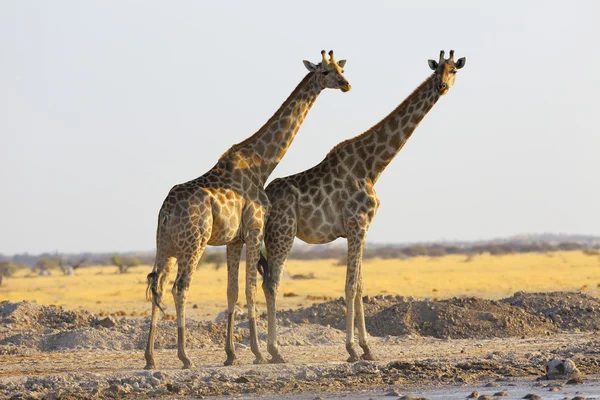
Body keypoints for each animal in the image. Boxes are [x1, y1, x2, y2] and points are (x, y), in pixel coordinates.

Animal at [145, 51, 352, 370]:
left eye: (341, 68)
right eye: (326, 72)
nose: (346, 84)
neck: (262, 165)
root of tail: (165, 213)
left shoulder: (234, 239)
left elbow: (232, 291)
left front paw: (231, 355)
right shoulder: (255, 229)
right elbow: (251, 288)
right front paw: (259, 353)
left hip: (164, 244)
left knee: (156, 283)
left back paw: (150, 358)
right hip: (193, 243)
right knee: (180, 287)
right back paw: (184, 357)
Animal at [260, 49, 466, 362]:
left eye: (453, 70)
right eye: (436, 70)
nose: (441, 86)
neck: (372, 166)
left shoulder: (363, 228)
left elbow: (359, 286)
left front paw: (367, 348)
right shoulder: (357, 224)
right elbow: (350, 286)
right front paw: (352, 349)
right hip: (282, 233)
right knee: (271, 283)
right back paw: (275, 351)